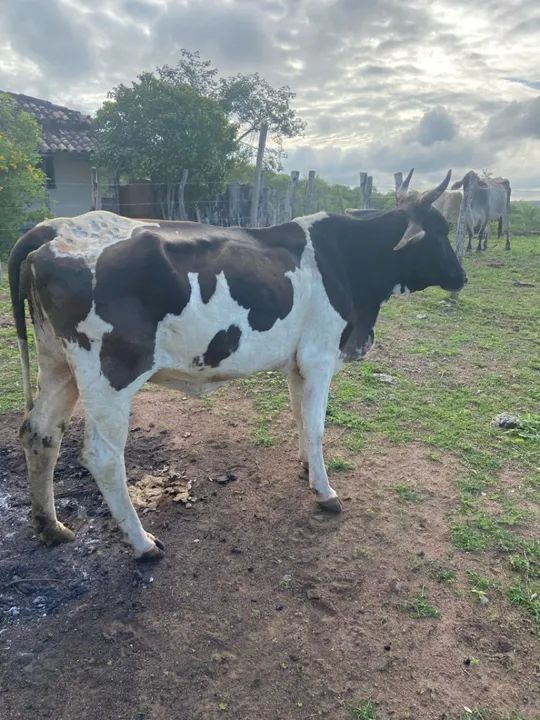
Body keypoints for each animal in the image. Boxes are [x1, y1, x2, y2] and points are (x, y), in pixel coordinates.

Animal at [8, 171, 465, 561]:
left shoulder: (297, 362)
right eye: (440, 232)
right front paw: (325, 490)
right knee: (102, 456)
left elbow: (301, 418)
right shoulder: (320, 356)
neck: (346, 260)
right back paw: (142, 543)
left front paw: (306, 466)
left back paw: (51, 527)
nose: (462, 277)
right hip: (110, 376)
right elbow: (317, 426)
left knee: (40, 433)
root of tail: (54, 228)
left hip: (58, 366)